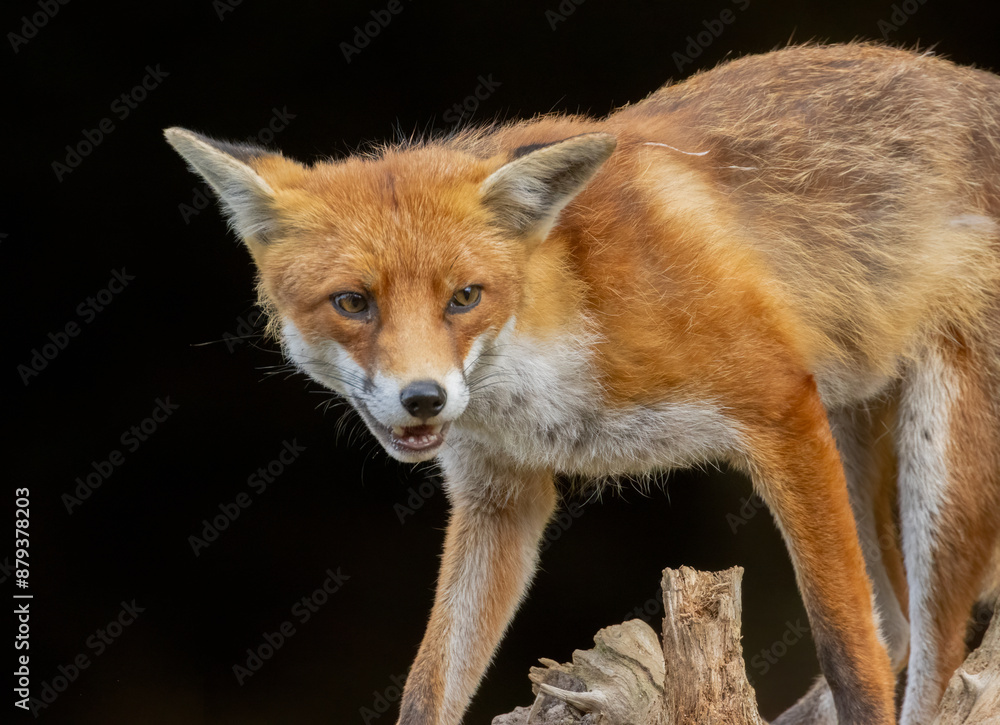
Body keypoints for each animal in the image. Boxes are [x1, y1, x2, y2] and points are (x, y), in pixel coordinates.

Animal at [165, 42, 1000, 725]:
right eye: (352, 303)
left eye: (463, 297)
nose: (424, 397)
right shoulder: (500, 496)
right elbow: (428, 686)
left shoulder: (780, 406)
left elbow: (850, 655)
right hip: (854, 431)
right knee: (898, 622)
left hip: (936, 470)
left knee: (930, 659)